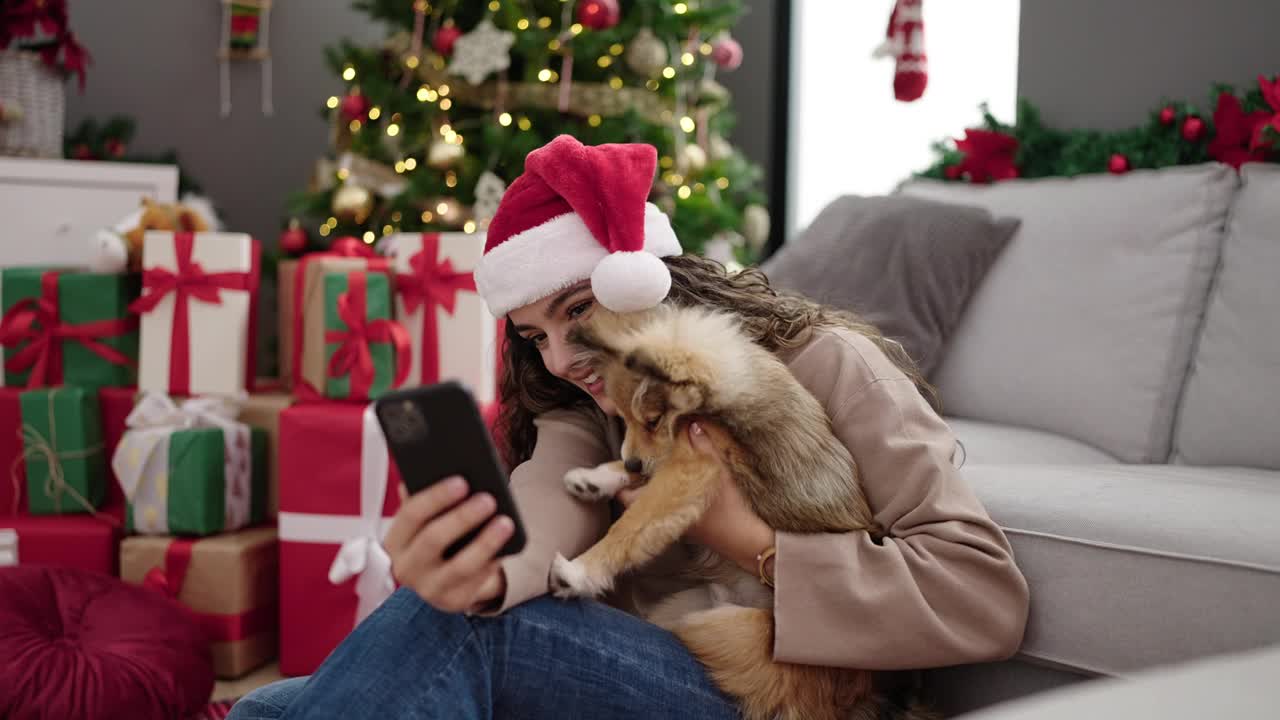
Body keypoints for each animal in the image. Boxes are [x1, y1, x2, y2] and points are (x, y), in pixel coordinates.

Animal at [545, 303, 926, 717]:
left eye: (652, 420)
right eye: (624, 418)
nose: (631, 463)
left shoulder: (693, 468)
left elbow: (632, 526)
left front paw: (580, 571)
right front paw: (596, 477)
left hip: (725, 627)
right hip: (685, 607)